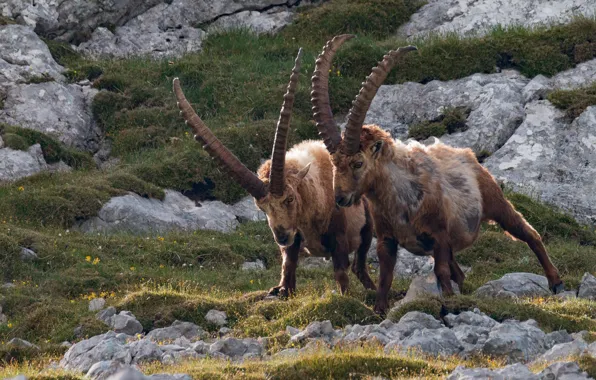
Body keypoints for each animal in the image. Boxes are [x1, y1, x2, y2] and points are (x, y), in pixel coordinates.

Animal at [172, 48, 374, 296]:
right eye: (262, 207)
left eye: (289, 199)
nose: (281, 236)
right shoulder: (294, 242)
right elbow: (288, 266)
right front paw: (281, 290)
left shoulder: (339, 240)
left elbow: (341, 273)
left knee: (360, 265)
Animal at [312, 35, 564, 314]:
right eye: (334, 163)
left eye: (358, 162)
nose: (340, 198)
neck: (400, 200)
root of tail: (467, 154)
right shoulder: (387, 239)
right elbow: (386, 276)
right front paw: (379, 310)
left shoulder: (440, 235)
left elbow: (441, 270)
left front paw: (449, 301)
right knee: (460, 272)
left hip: (494, 201)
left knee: (527, 232)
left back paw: (555, 281)